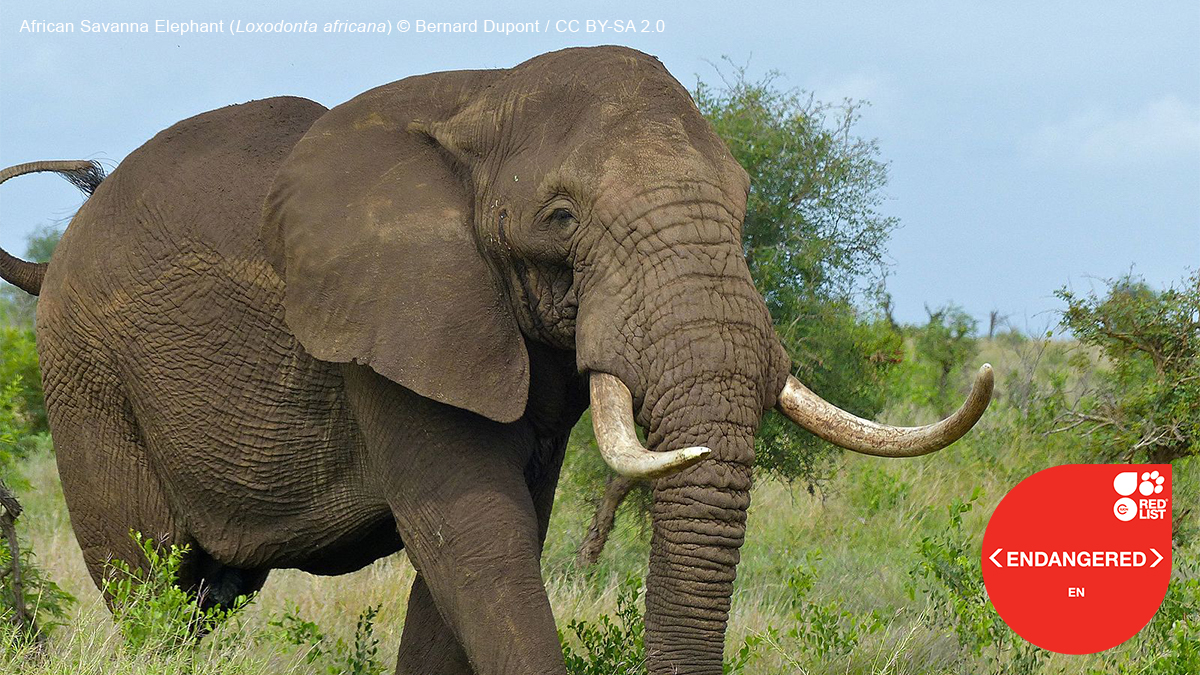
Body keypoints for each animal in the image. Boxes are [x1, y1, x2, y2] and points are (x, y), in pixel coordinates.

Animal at [0, 47, 992, 675]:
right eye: (561, 218)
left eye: (746, 205)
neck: (484, 97)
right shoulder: (384, 323)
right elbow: (476, 533)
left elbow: (486, 546)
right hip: (86, 374)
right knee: (150, 583)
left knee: (213, 593)